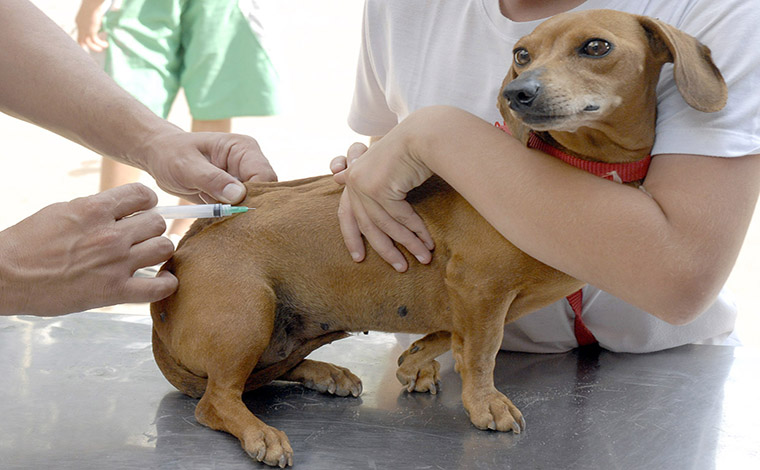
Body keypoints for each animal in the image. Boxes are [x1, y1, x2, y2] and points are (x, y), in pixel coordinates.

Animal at [148, 9, 724, 468]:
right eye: (521, 54)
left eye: (597, 47)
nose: (518, 93)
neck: (573, 168)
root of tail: (183, 250)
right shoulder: (480, 287)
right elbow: (481, 351)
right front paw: (485, 403)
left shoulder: (476, 296)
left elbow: (455, 335)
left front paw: (417, 357)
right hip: (249, 315)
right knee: (219, 400)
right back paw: (261, 433)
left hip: (284, 332)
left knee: (266, 375)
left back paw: (325, 373)